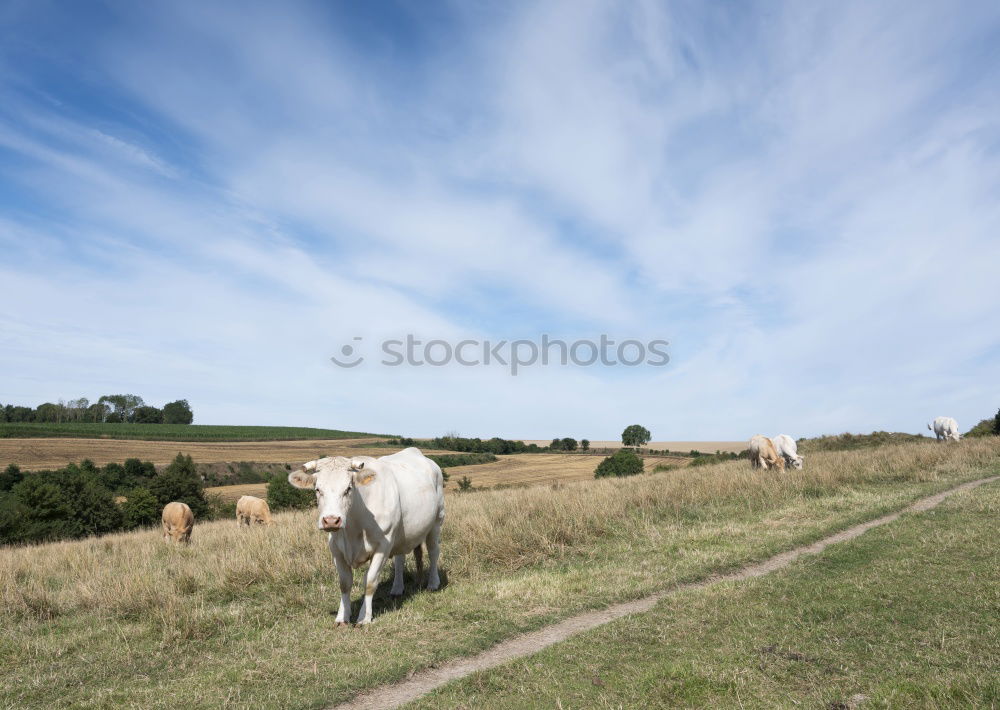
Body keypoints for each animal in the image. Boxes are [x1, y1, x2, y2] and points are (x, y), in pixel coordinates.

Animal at [290, 450, 446, 628]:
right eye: (317, 489)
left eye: (348, 488)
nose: (331, 520)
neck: (353, 528)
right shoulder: (336, 549)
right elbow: (344, 583)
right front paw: (342, 617)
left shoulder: (382, 546)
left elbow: (370, 582)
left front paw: (364, 617)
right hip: (401, 534)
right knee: (400, 560)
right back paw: (397, 588)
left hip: (436, 522)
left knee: (433, 552)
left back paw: (433, 583)